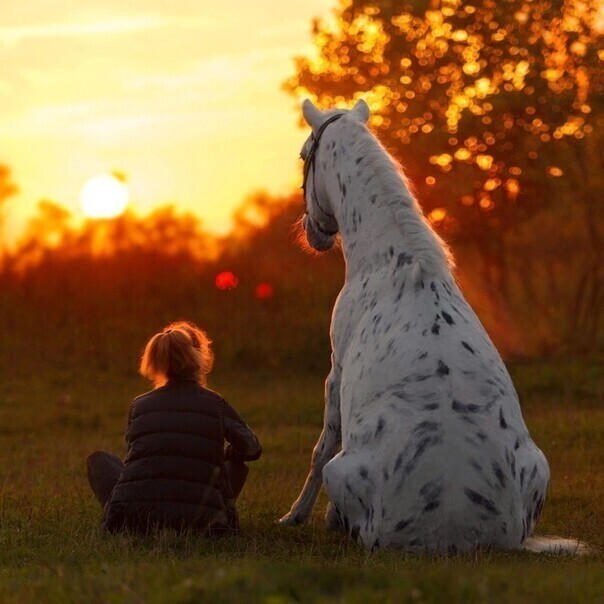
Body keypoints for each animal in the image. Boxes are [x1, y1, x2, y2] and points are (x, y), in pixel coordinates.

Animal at [282, 99, 588, 556]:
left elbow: (320, 448)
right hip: (541, 465)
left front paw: (295, 515)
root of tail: (455, 532)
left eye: (304, 155)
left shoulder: (334, 376)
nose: (310, 233)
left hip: (344, 471)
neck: (393, 258)